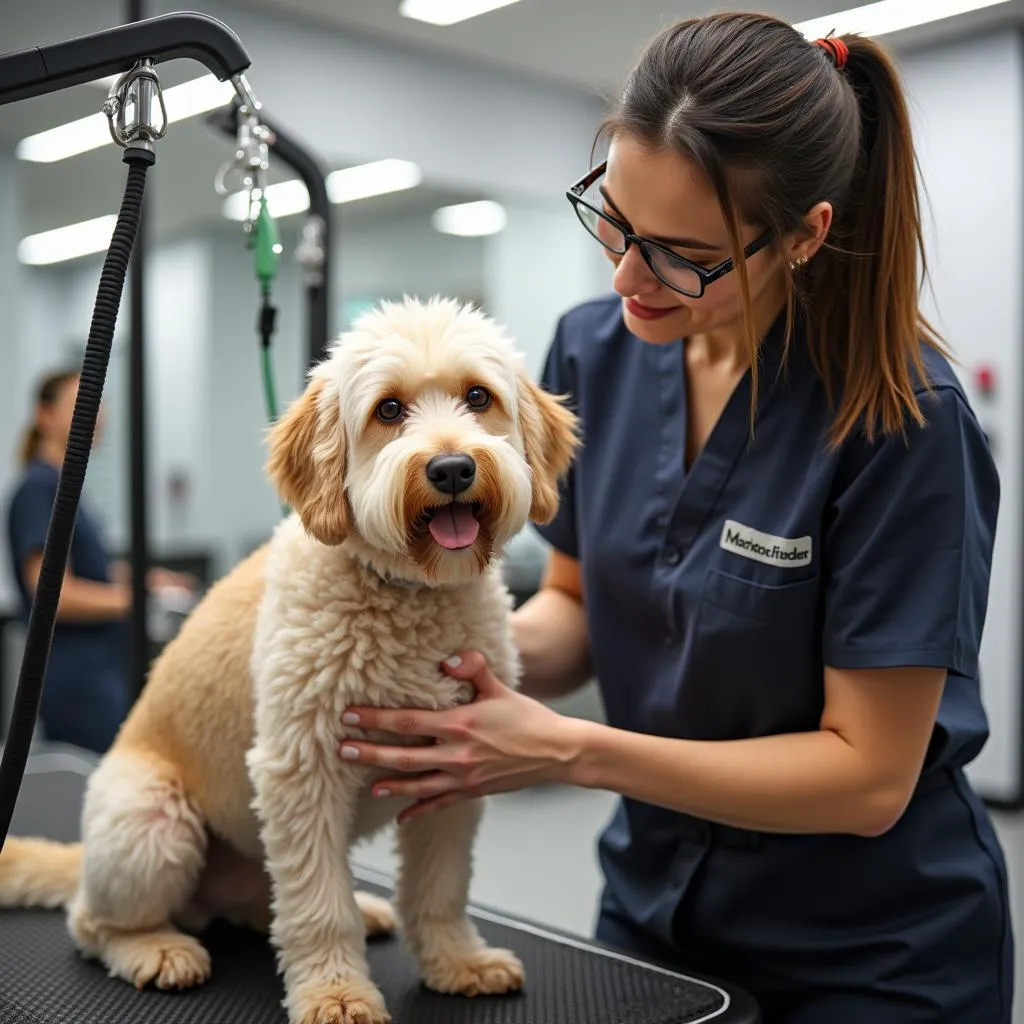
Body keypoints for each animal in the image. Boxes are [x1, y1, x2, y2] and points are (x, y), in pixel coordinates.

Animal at [0, 296, 577, 1024]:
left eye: (479, 397)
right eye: (388, 410)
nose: (451, 469)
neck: (404, 594)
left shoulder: (453, 772)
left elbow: (441, 888)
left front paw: (456, 961)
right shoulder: (302, 770)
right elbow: (317, 908)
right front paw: (336, 992)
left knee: (267, 906)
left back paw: (362, 910)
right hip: (152, 826)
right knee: (91, 920)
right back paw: (154, 948)